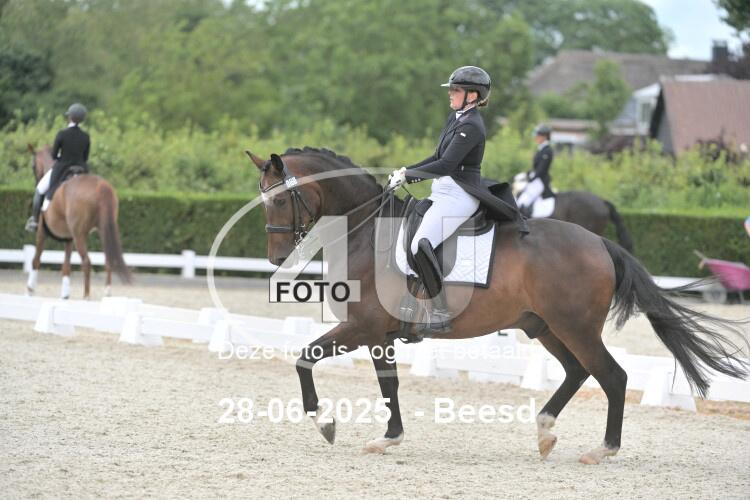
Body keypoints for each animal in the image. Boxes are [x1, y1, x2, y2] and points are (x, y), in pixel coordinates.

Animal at [26, 144, 130, 299]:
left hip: (79, 234)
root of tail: (101, 186)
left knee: (86, 262)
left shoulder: (42, 232)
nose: (36, 182)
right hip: (103, 230)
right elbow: (66, 266)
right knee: (108, 260)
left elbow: (36, 260)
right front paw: (65, 295)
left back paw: (86, 297)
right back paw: (107, 292)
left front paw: (30, 290)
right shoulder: (69, 239)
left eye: (33, 165)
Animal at [249, 147, 748, 464]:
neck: (364, 230)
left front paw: (325, 424)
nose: (276, 257)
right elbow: (389, 385)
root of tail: (599, 243)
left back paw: (601, 450)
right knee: (577, 372)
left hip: (575, 326)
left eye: (280, 198)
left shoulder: (363, 329)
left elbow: (304, 359)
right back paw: (545, 432)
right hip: (544, 326)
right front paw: (387, 439)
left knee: (612, 375)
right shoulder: (378, 336)